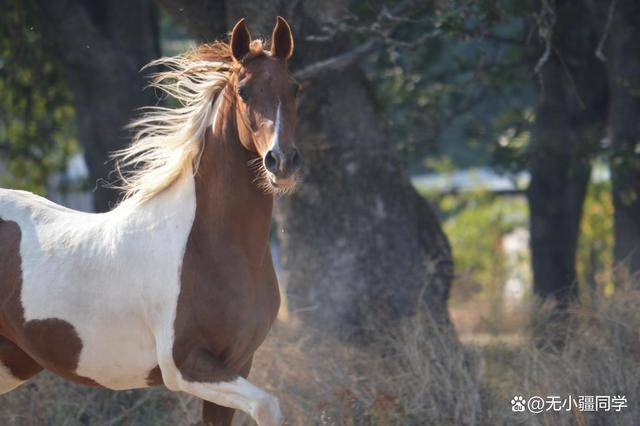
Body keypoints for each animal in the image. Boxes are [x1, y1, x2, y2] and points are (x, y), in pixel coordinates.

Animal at [0, 16, 298, 426]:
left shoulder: (239, 361)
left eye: (295, 88)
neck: (207, 247)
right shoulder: (185, 365)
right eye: (245, 91)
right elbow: (268, 405)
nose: (282, 162)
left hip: (12, 361)